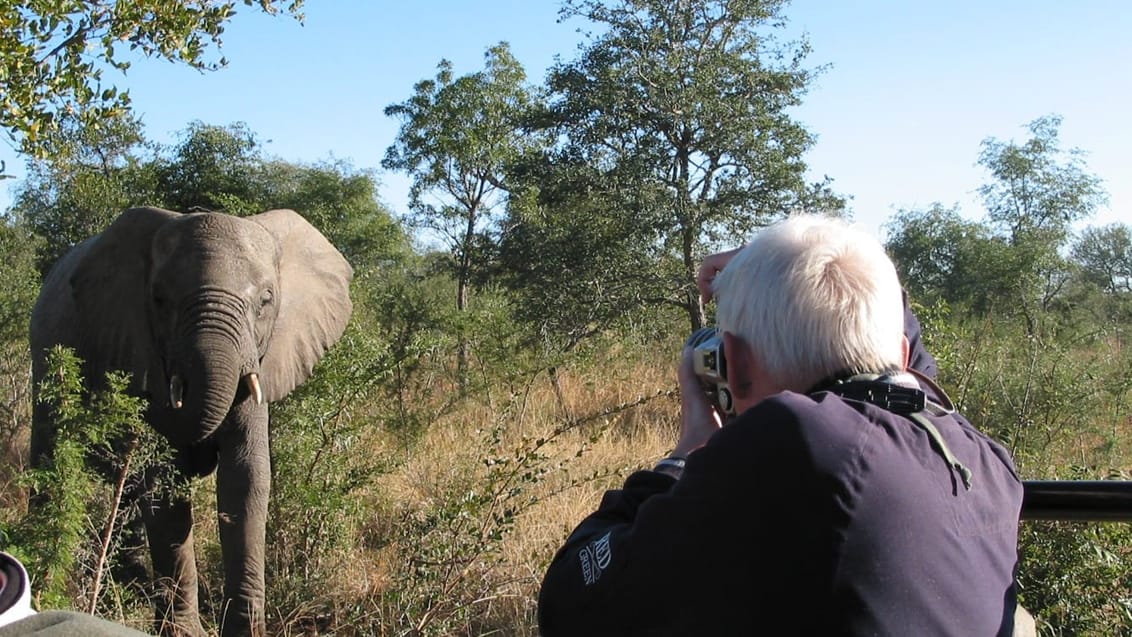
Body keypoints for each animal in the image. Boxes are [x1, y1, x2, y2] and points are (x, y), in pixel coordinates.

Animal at [28, 207, 353, 633]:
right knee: (48, 459)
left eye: (266, 300)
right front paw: (183, 632)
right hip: (46, 359)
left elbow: (246, 479)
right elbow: (165, 487)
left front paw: (245, 632)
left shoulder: (258, 363)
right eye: (159, 300)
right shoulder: (142, 349)